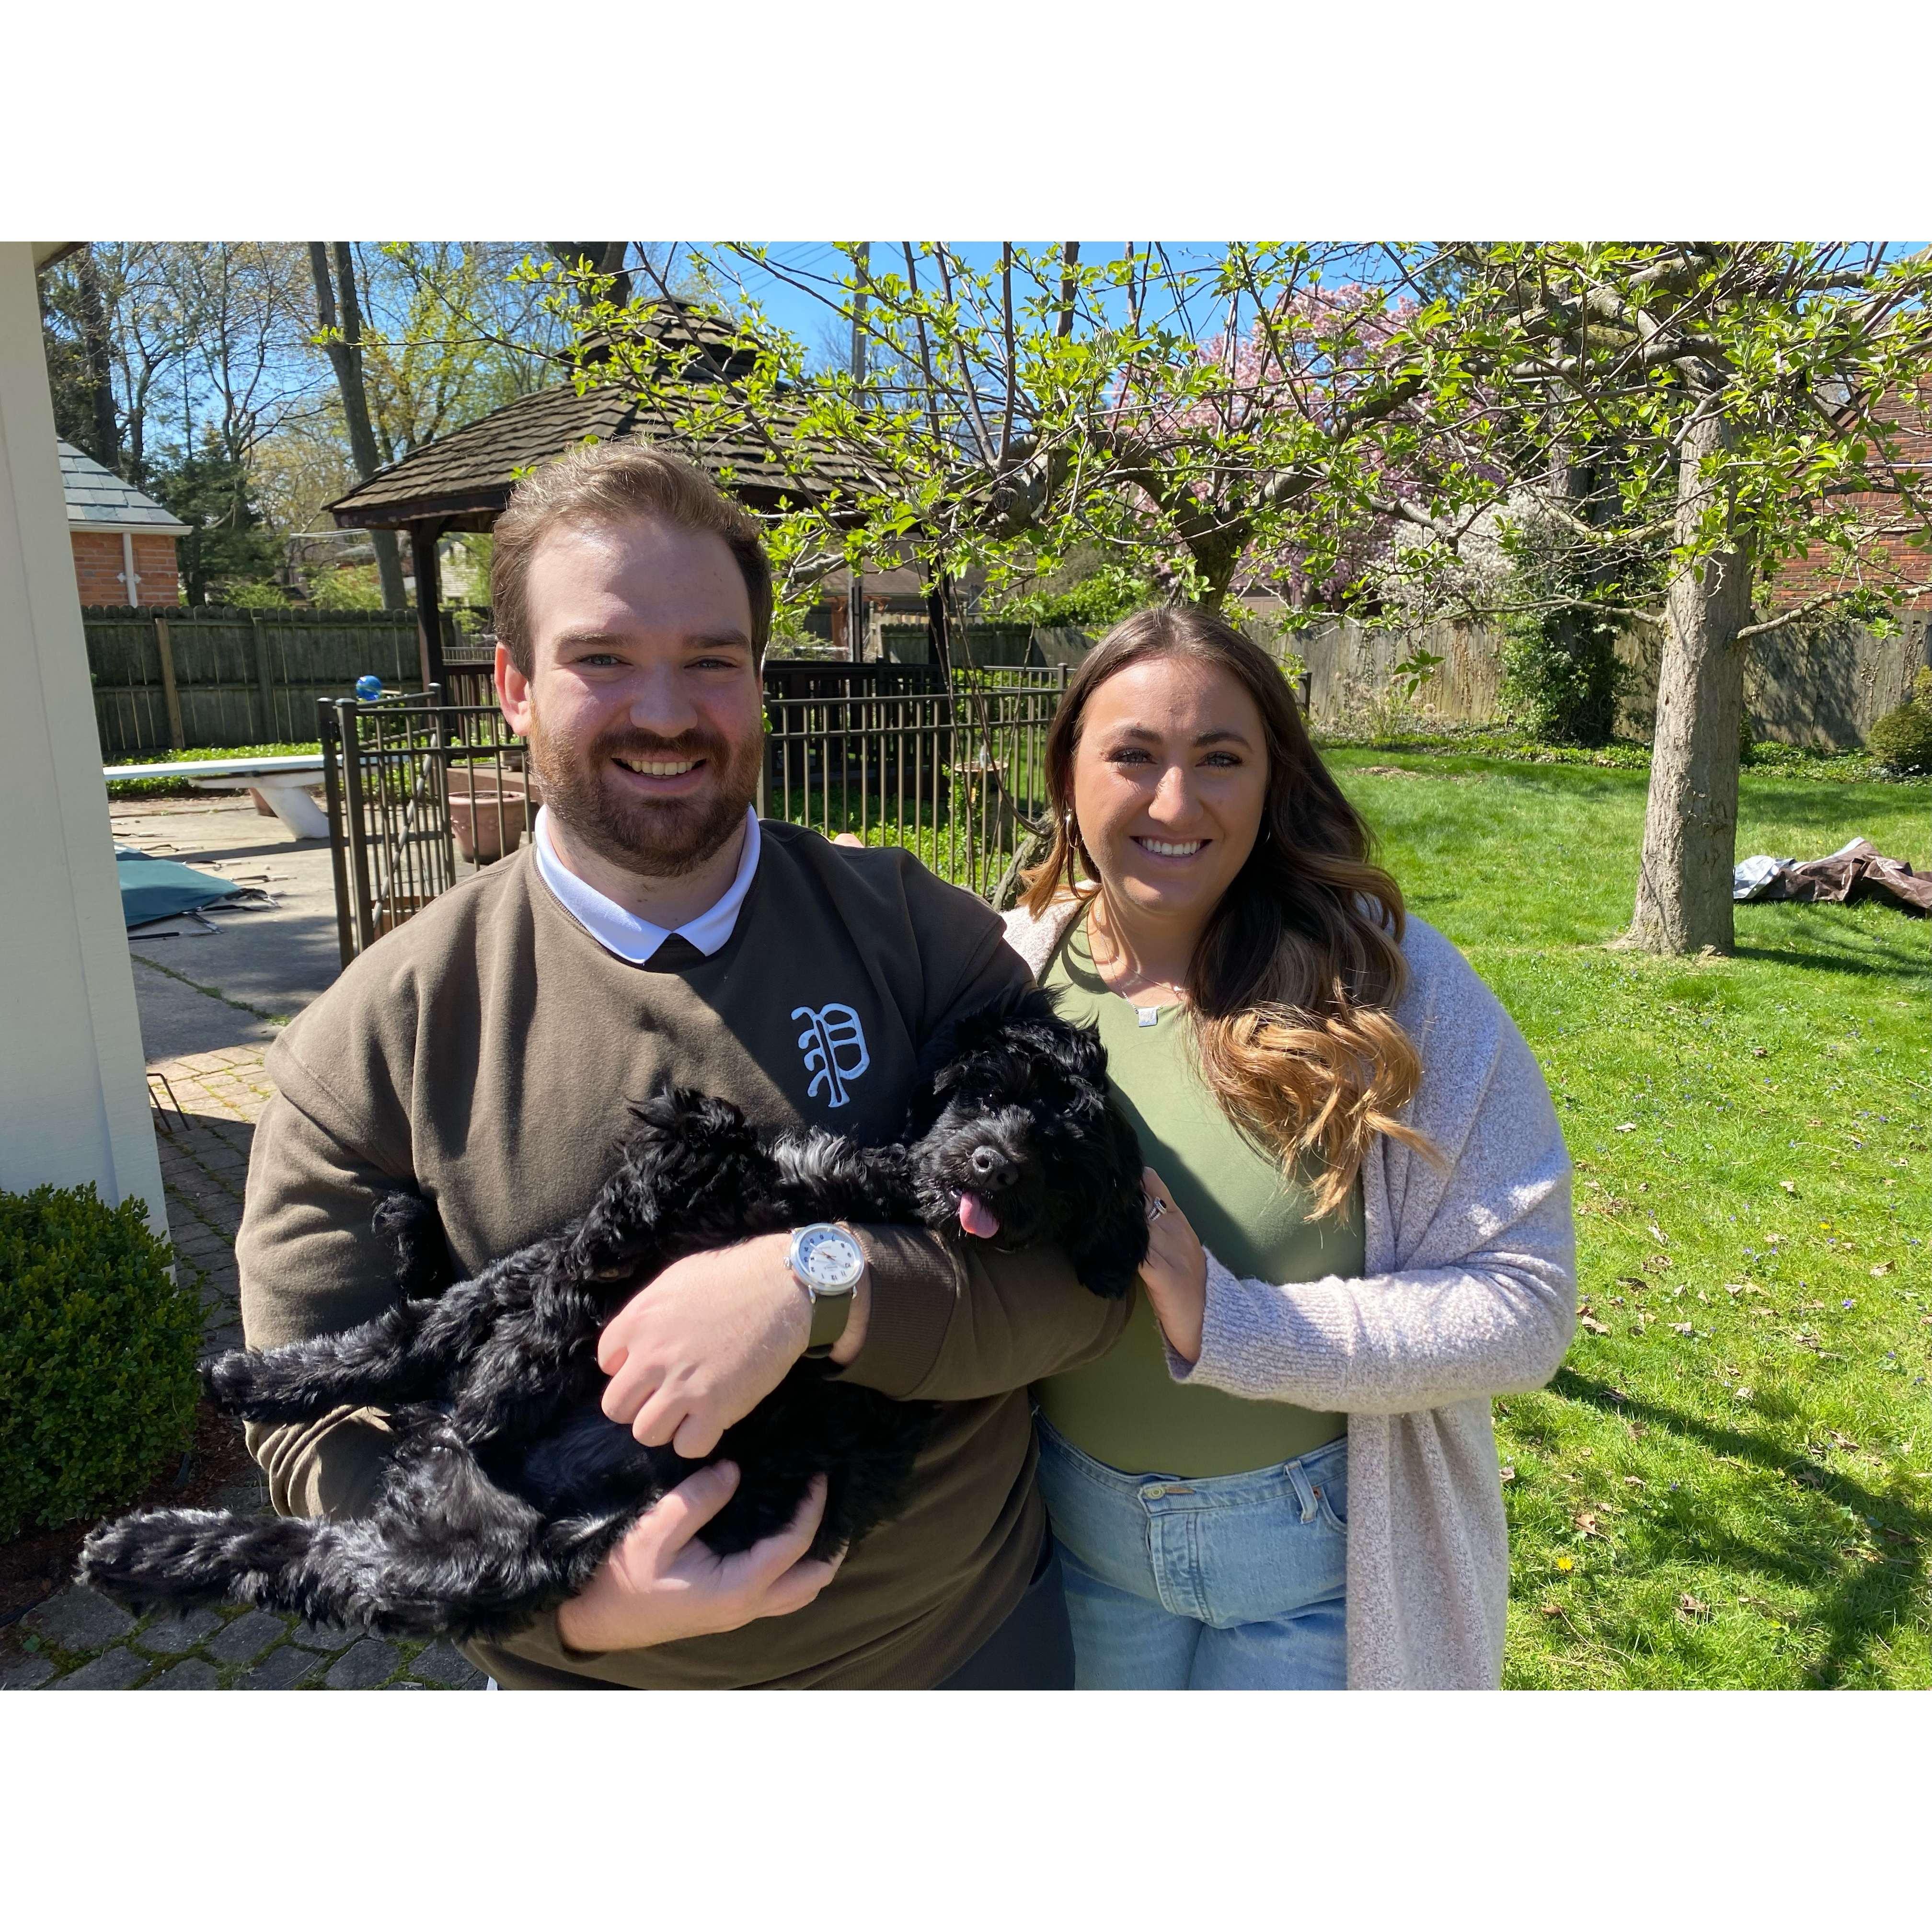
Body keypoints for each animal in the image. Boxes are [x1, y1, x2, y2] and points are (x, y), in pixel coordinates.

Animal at [83, 997, 1143, 1646]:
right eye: (1000, 1094)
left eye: (1063, 1163)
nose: (998, 1165)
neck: (873, 1195)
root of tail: (439, 1481)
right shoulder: (680, 1182)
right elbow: (600, 1253)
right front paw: (514, 1375)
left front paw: (505, 1383)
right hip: (477, 1349)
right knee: (403, 1347)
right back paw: (259, 1384)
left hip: (458, 1568)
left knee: (298, 1556)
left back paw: (143, 1546)